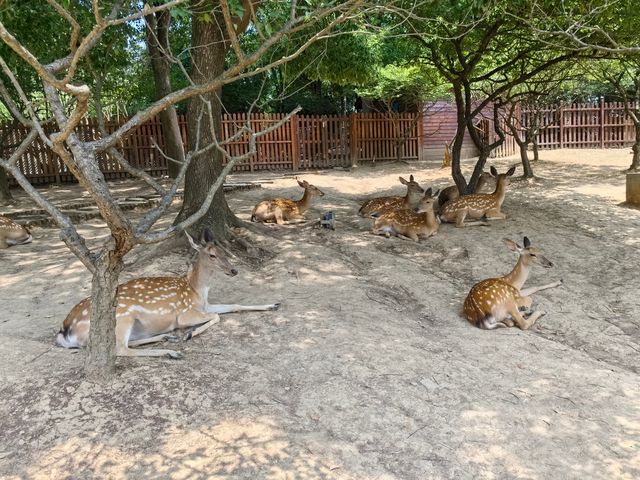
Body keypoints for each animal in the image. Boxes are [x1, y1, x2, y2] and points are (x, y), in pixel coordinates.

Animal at [57, 230, 280, 360]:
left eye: (225, 251)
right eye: (212, 255)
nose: (234, 270)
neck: (196, 290)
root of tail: (65, 331)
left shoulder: (205, 305)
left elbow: (234, 306)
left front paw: (273, 305)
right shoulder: (184, 313)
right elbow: (217, 317)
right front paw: (190, 334)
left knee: (127, 343)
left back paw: (166, 337)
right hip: (122, 318)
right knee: (120, 349)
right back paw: (173, 351)